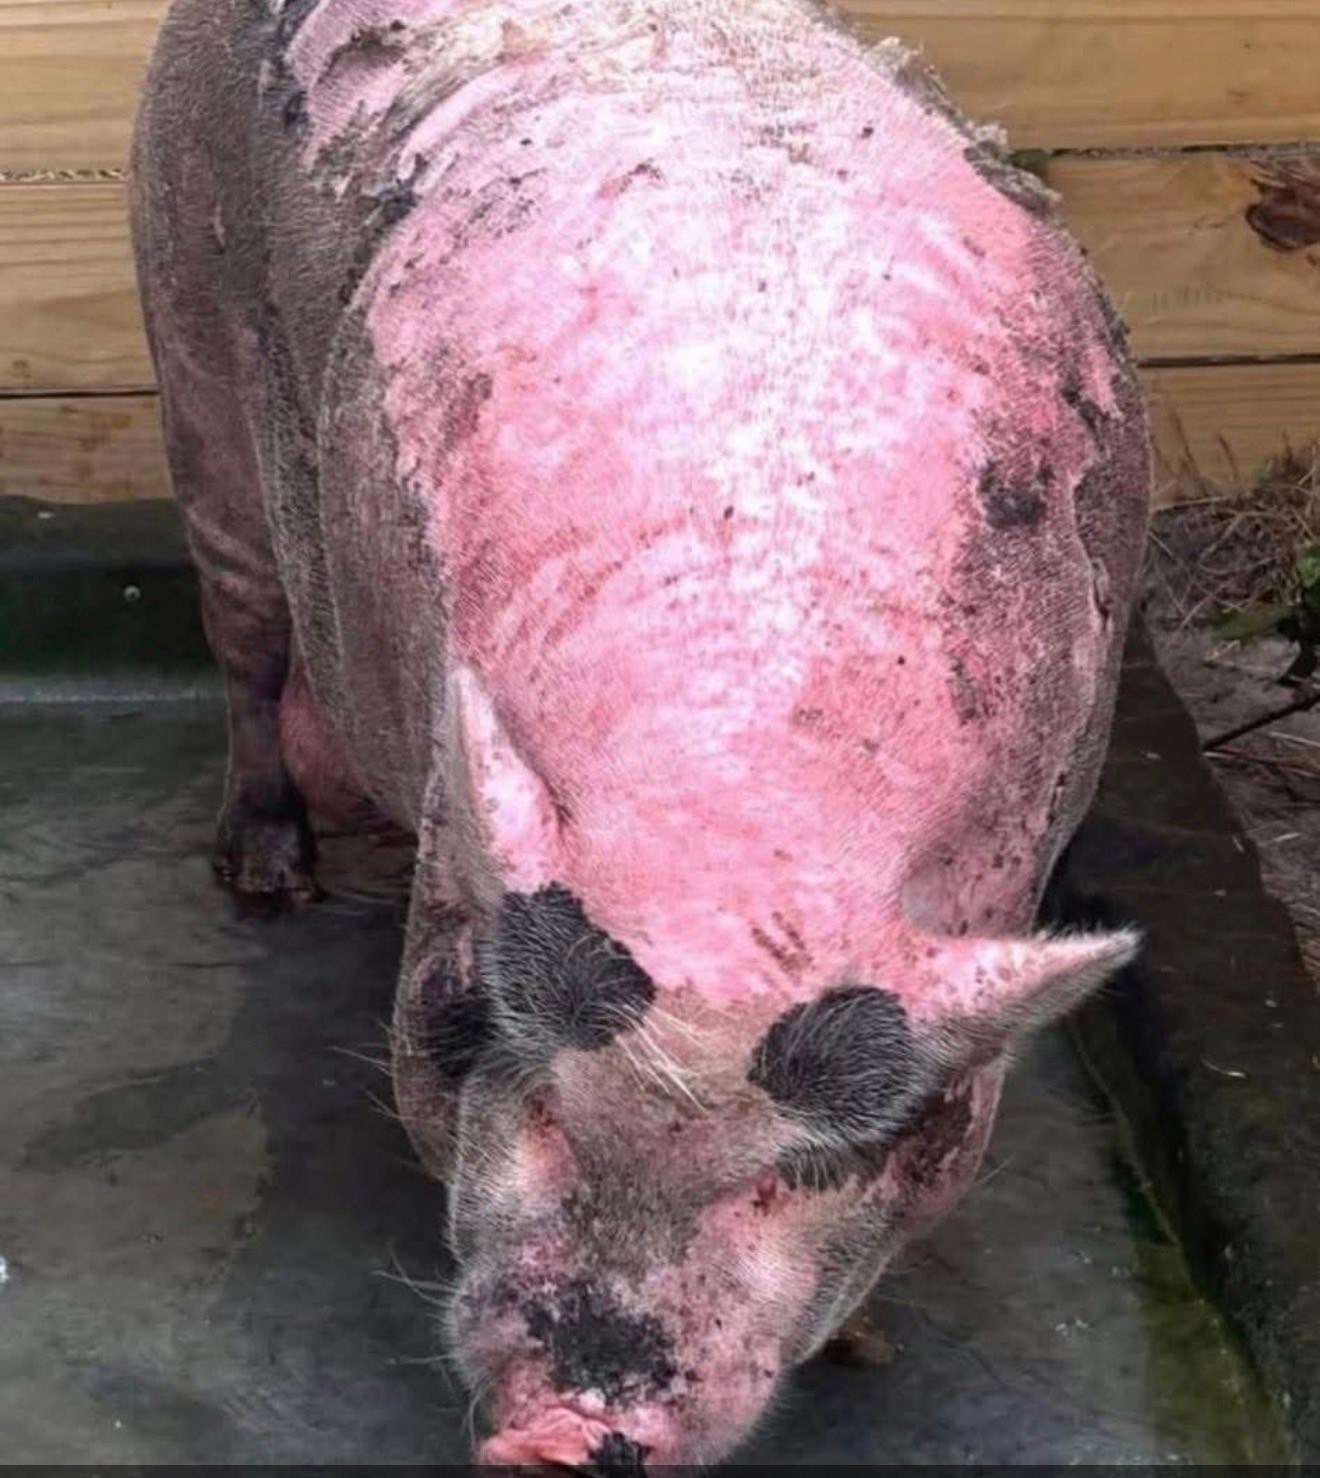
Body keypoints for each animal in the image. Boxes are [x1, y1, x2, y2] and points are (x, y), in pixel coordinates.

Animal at [130, 0, 1151, 1467]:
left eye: (814, 1163)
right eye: (536, 1094)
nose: (571, 1424)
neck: (747, 799)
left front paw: (860, 1343)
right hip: (190, 349)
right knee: (243, 641)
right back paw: (272, 874)